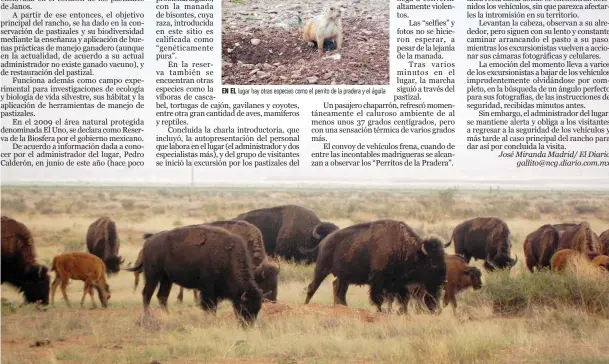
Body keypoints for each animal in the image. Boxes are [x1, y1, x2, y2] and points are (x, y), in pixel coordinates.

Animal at [126, 225, 262, 324]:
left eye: (258, 308)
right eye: (245, 307)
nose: (247, 325)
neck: (228, 257)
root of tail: (148, 242)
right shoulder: (208, 289)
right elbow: (210, 306)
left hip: (166, 279)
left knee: (162, 296)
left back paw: (168, 315)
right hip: (153, 275)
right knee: (147, 294)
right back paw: (148, 316)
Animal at [304, 219, 446, 312]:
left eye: (443, 259)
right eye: (433, 263)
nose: (444, 280)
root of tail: (325, 240)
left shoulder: (399, 285)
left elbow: (401, 300)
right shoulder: (378, 282)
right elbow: (378, 299)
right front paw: (380, 312)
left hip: (343, 277)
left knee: (339, 290)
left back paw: (343, 307)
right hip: (321, 269)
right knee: (312, 287)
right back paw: (305, 305)